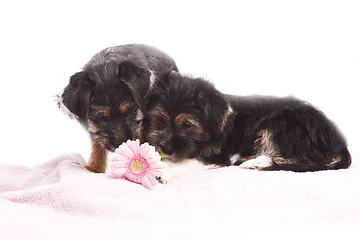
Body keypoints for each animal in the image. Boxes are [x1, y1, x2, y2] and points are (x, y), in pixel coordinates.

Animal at [58, 44, 178, 172]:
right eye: (102, 117)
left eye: (130, 111)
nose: (122, 145)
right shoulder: (93, 125)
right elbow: (97, 139)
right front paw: (95, 167)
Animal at [143, 71, 352, 182]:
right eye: (159, 119)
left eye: (187, 125)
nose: (164, 146)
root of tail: (338, 141)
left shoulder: (219, 153)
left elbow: (192, 160)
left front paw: (167, 170)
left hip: (284, 126)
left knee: (308, 160)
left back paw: (257, 162)